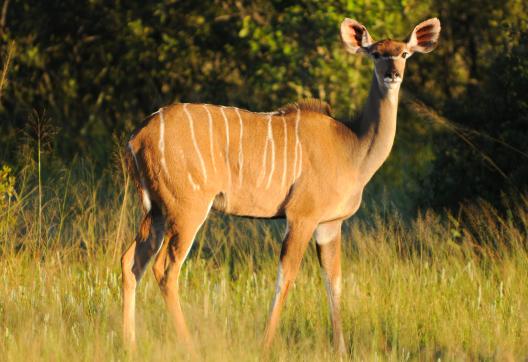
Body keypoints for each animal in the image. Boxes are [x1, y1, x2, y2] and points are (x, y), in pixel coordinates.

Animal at [120, 17, 442, 354]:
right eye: (376, 53)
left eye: (404, 53)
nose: (392, 74)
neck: (352, 146)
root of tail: (137, 137)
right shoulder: (302, 216)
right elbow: (286, 277)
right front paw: (265, 344)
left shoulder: (330, 224)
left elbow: (334, 281)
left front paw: (340, 349)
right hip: (187, 209)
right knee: (165, 268)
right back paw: (190, 346)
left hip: (157, 210)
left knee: (131, 261)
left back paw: (129, 344)